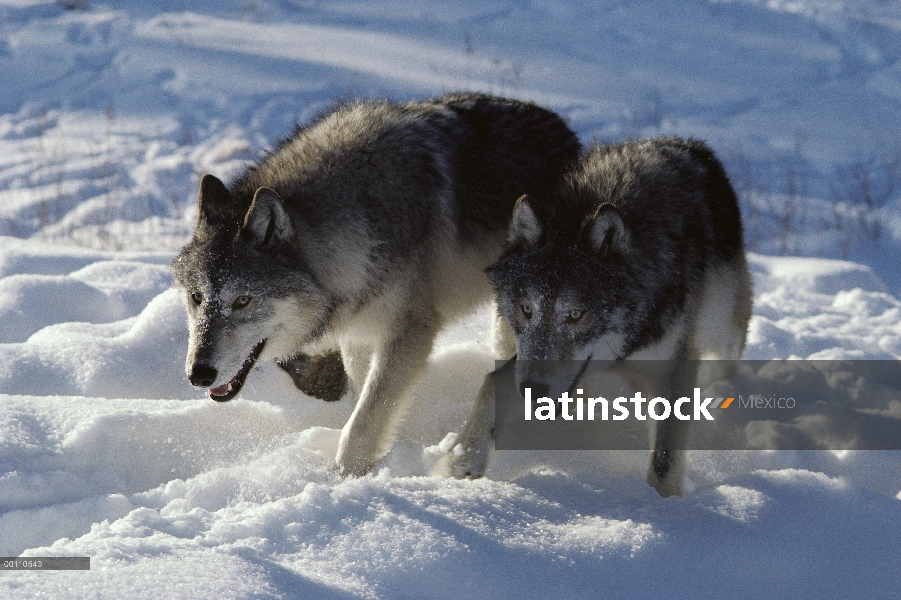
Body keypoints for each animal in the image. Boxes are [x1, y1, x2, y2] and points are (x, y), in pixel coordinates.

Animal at [170, 92, 580, 478]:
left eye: (242, 300)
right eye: (196, 297)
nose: (198, 374)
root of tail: (565, 129)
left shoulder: (409, 335)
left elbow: (362, 423)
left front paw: (343, 482)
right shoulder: (359, 333)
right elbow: (360, 408)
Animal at [448, 137, 752, 496]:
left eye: (576, 314)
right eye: (527, 309)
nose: (534, 391)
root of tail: (688, 143)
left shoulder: (674, 367)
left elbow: (664, 458)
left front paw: (663, 503)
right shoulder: (529, 363)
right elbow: (494, 381)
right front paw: (463, 459)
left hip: (723, 327)